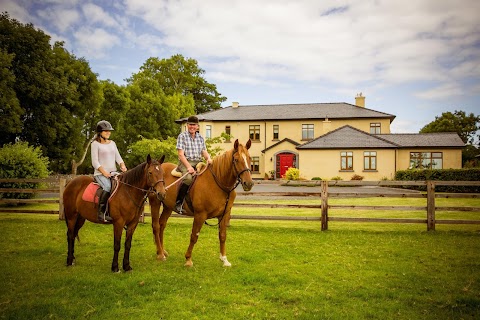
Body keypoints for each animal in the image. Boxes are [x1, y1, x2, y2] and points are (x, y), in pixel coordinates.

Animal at [150, 140, 255, 268]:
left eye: (249, 158)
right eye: (236, 159)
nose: (248, 183)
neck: (217, 183)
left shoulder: (224, 215)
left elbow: (222, 236)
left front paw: (224, 259)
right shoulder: (200, 215)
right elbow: (194, 236)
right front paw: (188, 259)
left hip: (168, 207)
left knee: (162, 225)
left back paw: (162, 251)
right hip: (155, 203)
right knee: (156, 226)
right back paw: (160, 254)